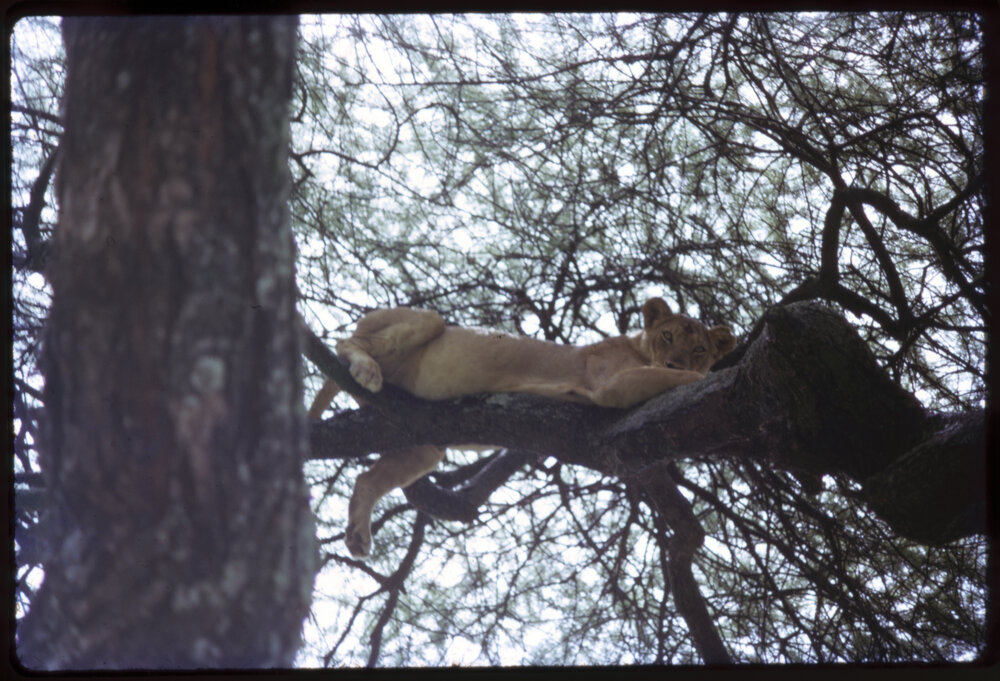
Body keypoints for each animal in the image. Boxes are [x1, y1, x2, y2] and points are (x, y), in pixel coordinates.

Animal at [310, 297, 736, 557]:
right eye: (667, 335)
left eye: (699, 349)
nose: (676, 361)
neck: (638, 346)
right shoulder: (611, 385)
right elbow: (680, 380)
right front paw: (703, 377)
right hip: (427, 321)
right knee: (346, 341)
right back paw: (366, 369)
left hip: (424, 443)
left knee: (367, 478)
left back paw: (358, 535)